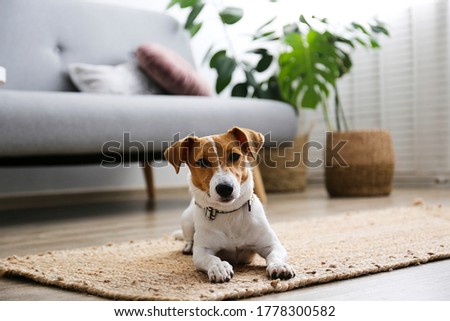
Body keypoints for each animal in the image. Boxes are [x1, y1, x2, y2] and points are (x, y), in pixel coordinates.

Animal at [165, 126, 296, 282]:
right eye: (202, 162)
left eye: (234, 156)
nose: (225, 188)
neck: (228, 213)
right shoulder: (202, 251)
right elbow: (211, 258)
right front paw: (219, 267)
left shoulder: (271, 244)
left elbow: (274, 254)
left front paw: (279, 266)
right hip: (186, 220)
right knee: (189, 238)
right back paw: (189, 246)